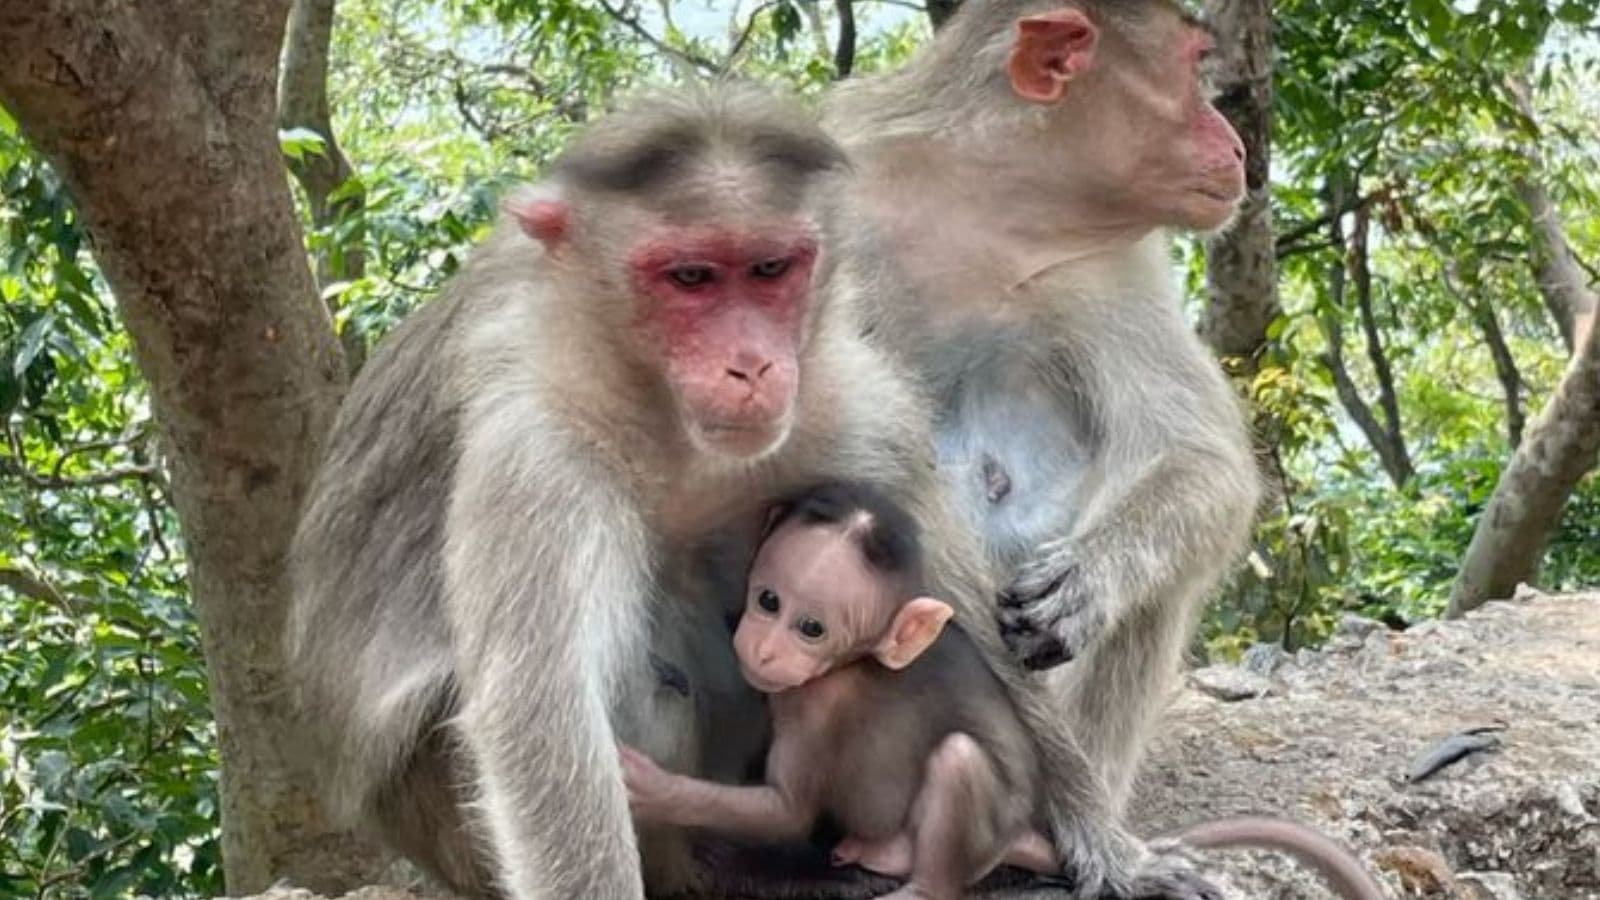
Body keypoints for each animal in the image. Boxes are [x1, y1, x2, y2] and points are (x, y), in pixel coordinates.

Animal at [622, 481, 1060, 900]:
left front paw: (654, 788)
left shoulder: (815, 705)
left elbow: (789, 811)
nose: (763, 650)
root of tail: (1021, 832)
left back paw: (919, 886)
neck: (847, 662)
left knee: (959, 758)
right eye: (769, 600)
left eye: (812, 628)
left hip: (989, 833)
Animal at [821, 0, 1264, 823]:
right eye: (1193, 70)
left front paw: (1089, 581)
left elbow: (1197, 455)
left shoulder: (1112, 267)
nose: (1236, 143)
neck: (985, 209)